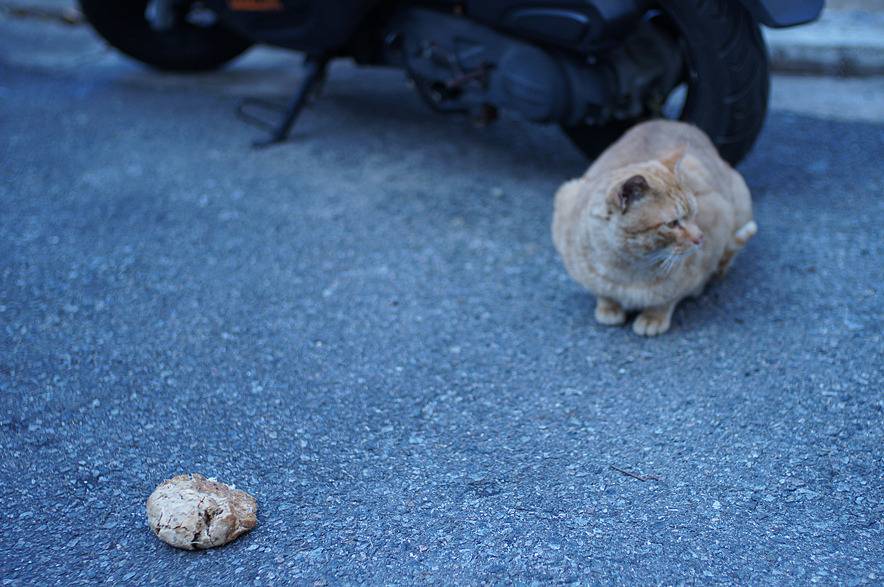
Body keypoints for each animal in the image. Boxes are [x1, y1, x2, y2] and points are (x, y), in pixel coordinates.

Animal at [552, 120, 752, 336]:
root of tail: (669, 121)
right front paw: (608, 307)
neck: (628, 268)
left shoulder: (719, 218)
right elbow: (603, 293)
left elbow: (668, 298)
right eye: (672, 224)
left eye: (694, 214)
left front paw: (653, 317)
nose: (700, 238)